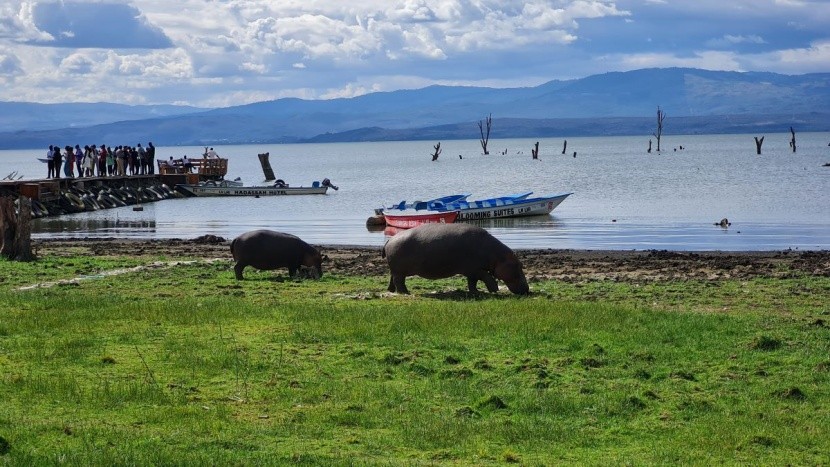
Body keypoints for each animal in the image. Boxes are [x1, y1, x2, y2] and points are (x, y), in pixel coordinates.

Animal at [382, 224, 528, 296]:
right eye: (518, 265)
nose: (527, 290)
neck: (497, 257)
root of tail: (390, 240)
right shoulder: (474, 269)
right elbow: (486, 277)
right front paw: (494, 289)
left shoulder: (472, 272)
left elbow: (472, 283)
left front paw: (476, 292)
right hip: (399, 271)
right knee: (399, 281)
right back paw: (405, 293)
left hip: (395, 270)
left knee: (392, 279)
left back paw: (392, 291)